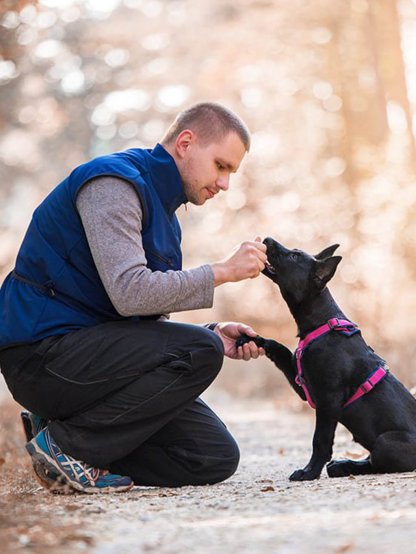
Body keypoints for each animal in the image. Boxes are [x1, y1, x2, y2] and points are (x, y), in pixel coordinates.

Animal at [239, 237, 416, 478]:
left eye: (294, 256)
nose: (266, 239)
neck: (322, 322)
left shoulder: (328, 399)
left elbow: (320, 440)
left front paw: (309, 472)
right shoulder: (305, 385)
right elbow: (279, 348)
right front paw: (249, 339)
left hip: (386, 442)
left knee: (377, 462)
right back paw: (343, 465)